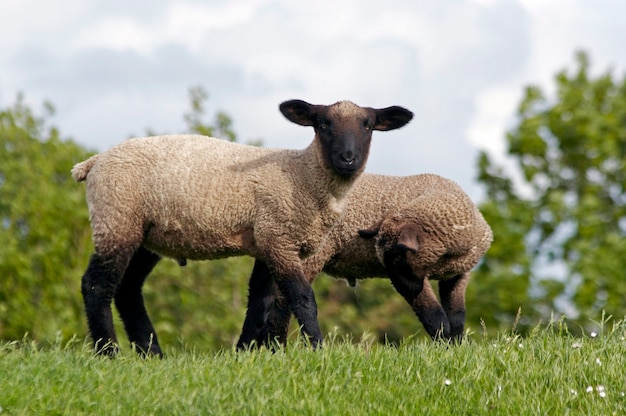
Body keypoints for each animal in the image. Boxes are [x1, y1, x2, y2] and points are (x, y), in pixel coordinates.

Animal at [70, 99, 412, 356]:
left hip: (146, 234)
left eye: (367, 125)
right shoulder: (278, 236)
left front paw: (247, 353)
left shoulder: (268, 239)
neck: (304, 175)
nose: (347, 157)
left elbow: (262, 301)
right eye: (323, 125)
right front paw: (317, 348)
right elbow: (302, 297)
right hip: (116, 217)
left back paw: (151, 354)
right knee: (96, 285)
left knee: (128, 289)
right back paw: (108, 353)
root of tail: (95, 161)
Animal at [239, 172, 492, 348]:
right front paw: (444, 344)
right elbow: (433, 313)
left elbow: (457, 315)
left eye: (398, 258)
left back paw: (249, 349)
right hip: (304, 253)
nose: (408, 290)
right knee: (285, 298)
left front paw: (455, 345)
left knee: (260, 297)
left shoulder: (456, 275)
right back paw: (276, 347)